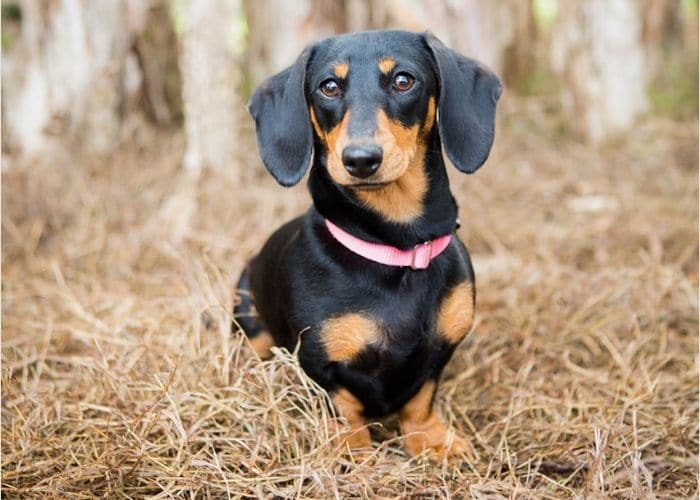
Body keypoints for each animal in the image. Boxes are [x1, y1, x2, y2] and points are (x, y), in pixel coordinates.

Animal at [235, 30, 504, 460]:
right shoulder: (321, 364)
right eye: (329, 86)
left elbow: (421, 397)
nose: (361, 159)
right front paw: (351, 449)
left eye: (403, 80)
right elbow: (344, 406)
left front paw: (431, 439)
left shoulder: (440, 350)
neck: (395, 248)